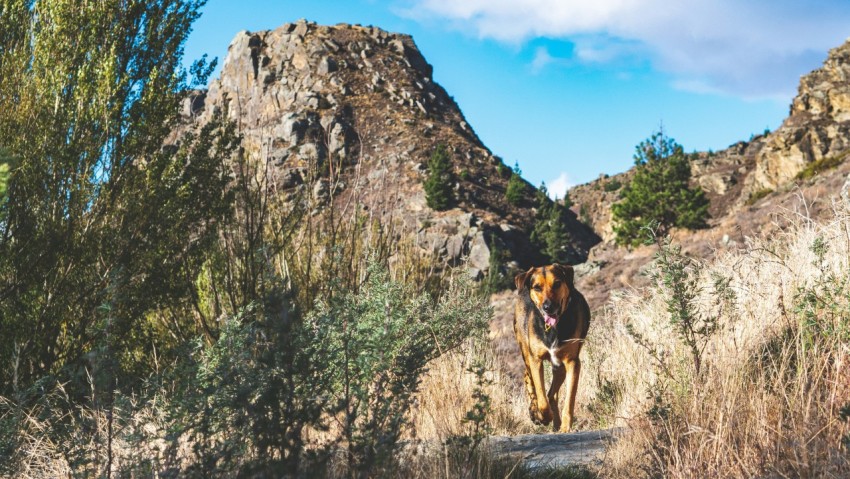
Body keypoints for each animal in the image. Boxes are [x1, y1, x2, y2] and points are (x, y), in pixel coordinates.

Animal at [512, 264, 588, 434]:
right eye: (537, 287)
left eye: (557, 283)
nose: (548, 307)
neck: (553, 328)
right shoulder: (536, 360)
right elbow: (542, 398)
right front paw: (543, 416)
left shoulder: (572, 362)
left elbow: (569, 399)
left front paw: (565, 427)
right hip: (525, 352)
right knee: (528, 378)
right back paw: (535, 411)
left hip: (559, 368)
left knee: (551, 394)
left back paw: (556, 423)